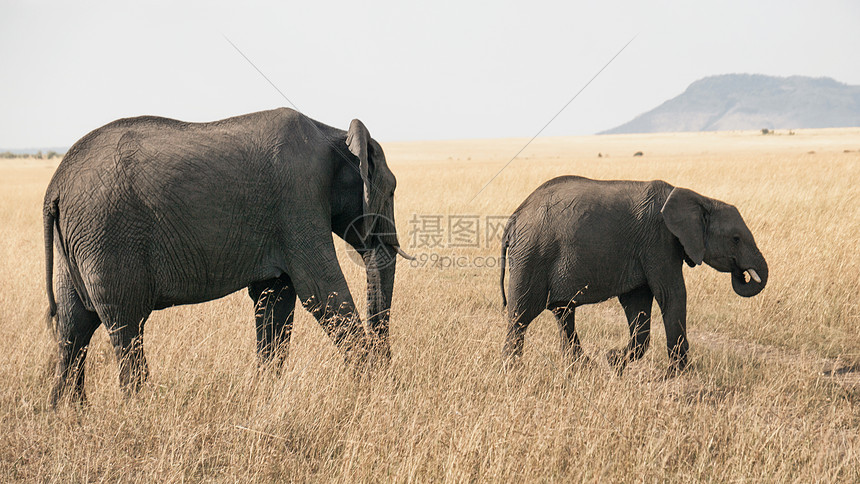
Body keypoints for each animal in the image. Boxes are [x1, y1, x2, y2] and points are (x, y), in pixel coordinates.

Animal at [42, 107, 412, 404]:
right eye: (392, 191)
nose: (388, 367)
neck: (333, 135)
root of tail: (55, 187)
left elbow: (276, 298)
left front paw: (266, 395)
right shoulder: (300, 198)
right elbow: (322, 292)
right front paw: (377, 392)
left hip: (76, 244)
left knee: (73, 330)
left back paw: (71, 417)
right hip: (107, 237)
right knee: (125, 326)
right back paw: (137, 411)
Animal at [500, 176, 768, 376]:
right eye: (736, 239)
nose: (742, 273)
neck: (701, 199)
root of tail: (513, 218)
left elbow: (637, 302)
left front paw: (613, 360)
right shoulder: (659, 242)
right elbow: (671, 294)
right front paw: (676, 375)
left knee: (563, 313)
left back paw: (584, 367)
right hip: (531, 257)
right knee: (520, 317)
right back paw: (512, 371)